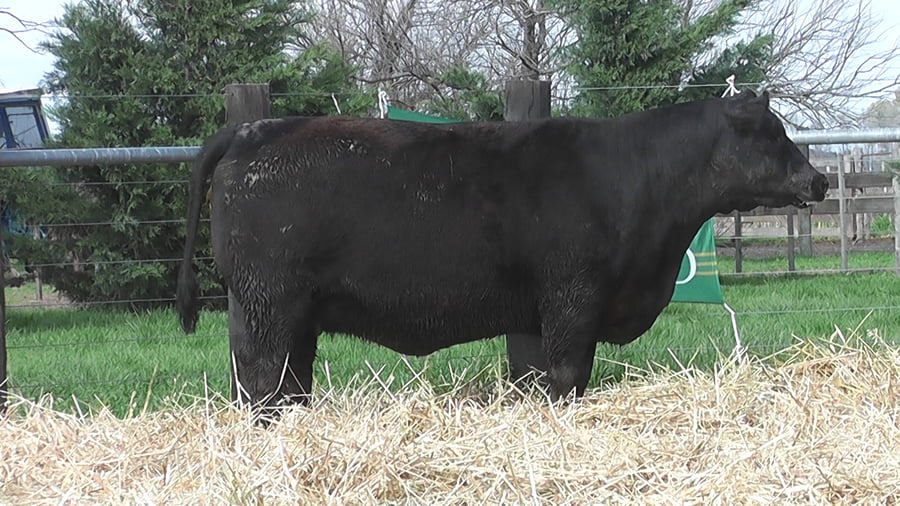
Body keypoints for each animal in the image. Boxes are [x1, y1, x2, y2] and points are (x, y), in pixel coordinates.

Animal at [177, 91, 827, 411]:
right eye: (773, 134)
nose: (819, 180)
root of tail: (252, 129)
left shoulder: (537, 312)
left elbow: (539, 376)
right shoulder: (573, 296)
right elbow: (567, 375)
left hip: (289, 313)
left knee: (285, 380)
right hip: (269, 305)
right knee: (262, 376)